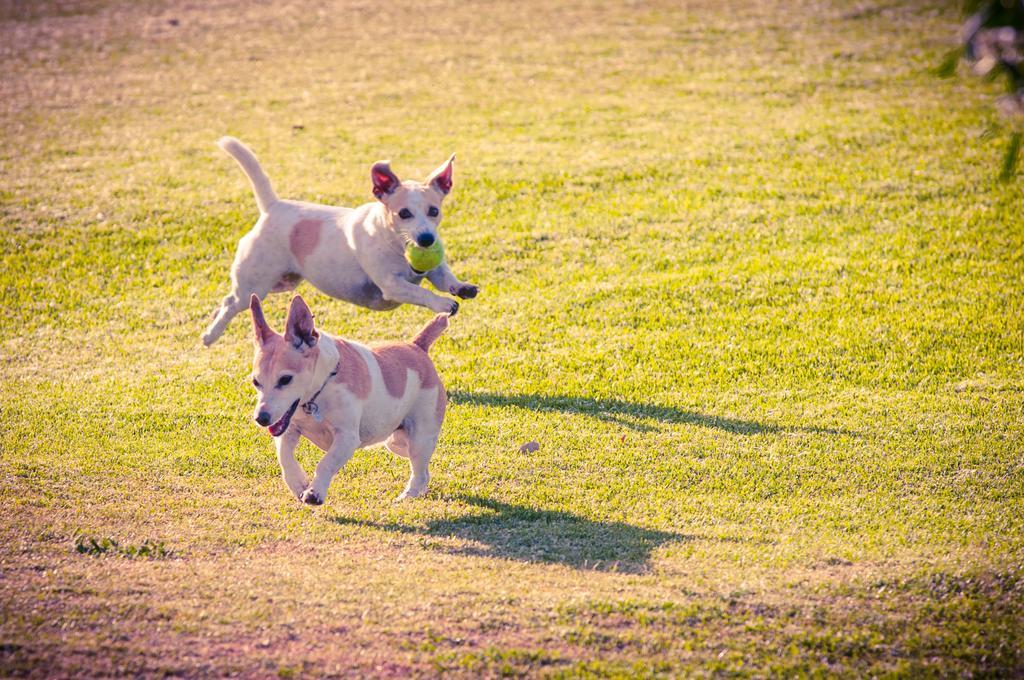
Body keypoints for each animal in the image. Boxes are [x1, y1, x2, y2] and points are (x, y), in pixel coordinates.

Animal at [201, 139, 477, 348]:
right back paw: (210, 334)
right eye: (404, 213)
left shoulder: (435, 271)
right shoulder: (392, 285)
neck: (397, 246)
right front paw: (442, 303)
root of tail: (272, 206)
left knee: (229, 298)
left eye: (434, 211)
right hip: (256, 282)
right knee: (232, 303)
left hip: (284, 282)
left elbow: (445, 279)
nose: (426, 239)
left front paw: (462, 288)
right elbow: (422, 292)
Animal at [248, 292, 448, 503]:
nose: (261, 418)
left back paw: (408, 496)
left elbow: (325, 463)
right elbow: (284, 457)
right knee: (421, 467)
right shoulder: (289, 429)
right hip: (396, 442)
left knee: (420, 471)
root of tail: (417, 346)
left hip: (419, 437)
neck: (319, 393)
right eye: (256, 382)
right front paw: (299, 484)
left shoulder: (347, 438)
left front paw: (314, 492)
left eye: (285, 379)